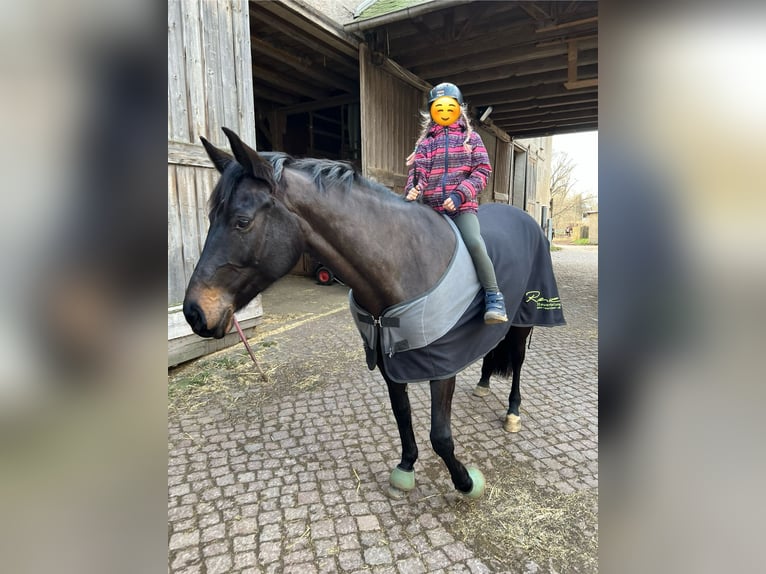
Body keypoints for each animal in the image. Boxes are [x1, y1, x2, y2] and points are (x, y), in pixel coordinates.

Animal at [182, 129, 564, 500]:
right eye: (211, 217)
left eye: (242, 221)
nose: (193, 312)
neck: (405, 261)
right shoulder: (388, 360)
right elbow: (402, 417)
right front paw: (406, 468)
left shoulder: (441, 368)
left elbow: (440, 436)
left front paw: (466, 483)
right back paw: (484, 385)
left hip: (524, 320)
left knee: (517, 361)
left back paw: (513, 413)